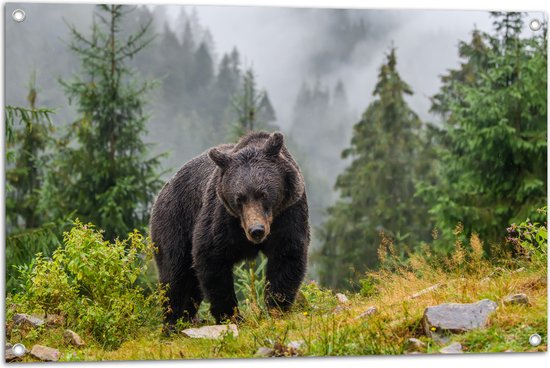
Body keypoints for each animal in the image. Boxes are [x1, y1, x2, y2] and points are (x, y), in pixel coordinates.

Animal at [150, 131, 310, 326]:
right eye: (239, 198)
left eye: (263, 194)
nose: (256, 230)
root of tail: (163, 190)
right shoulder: (223, 218)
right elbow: (211, 256)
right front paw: (231, 315)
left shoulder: (289, 212)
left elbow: (287, 254)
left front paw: (276, 307)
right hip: (175, 221)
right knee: (176, 274)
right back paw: (174, 321)